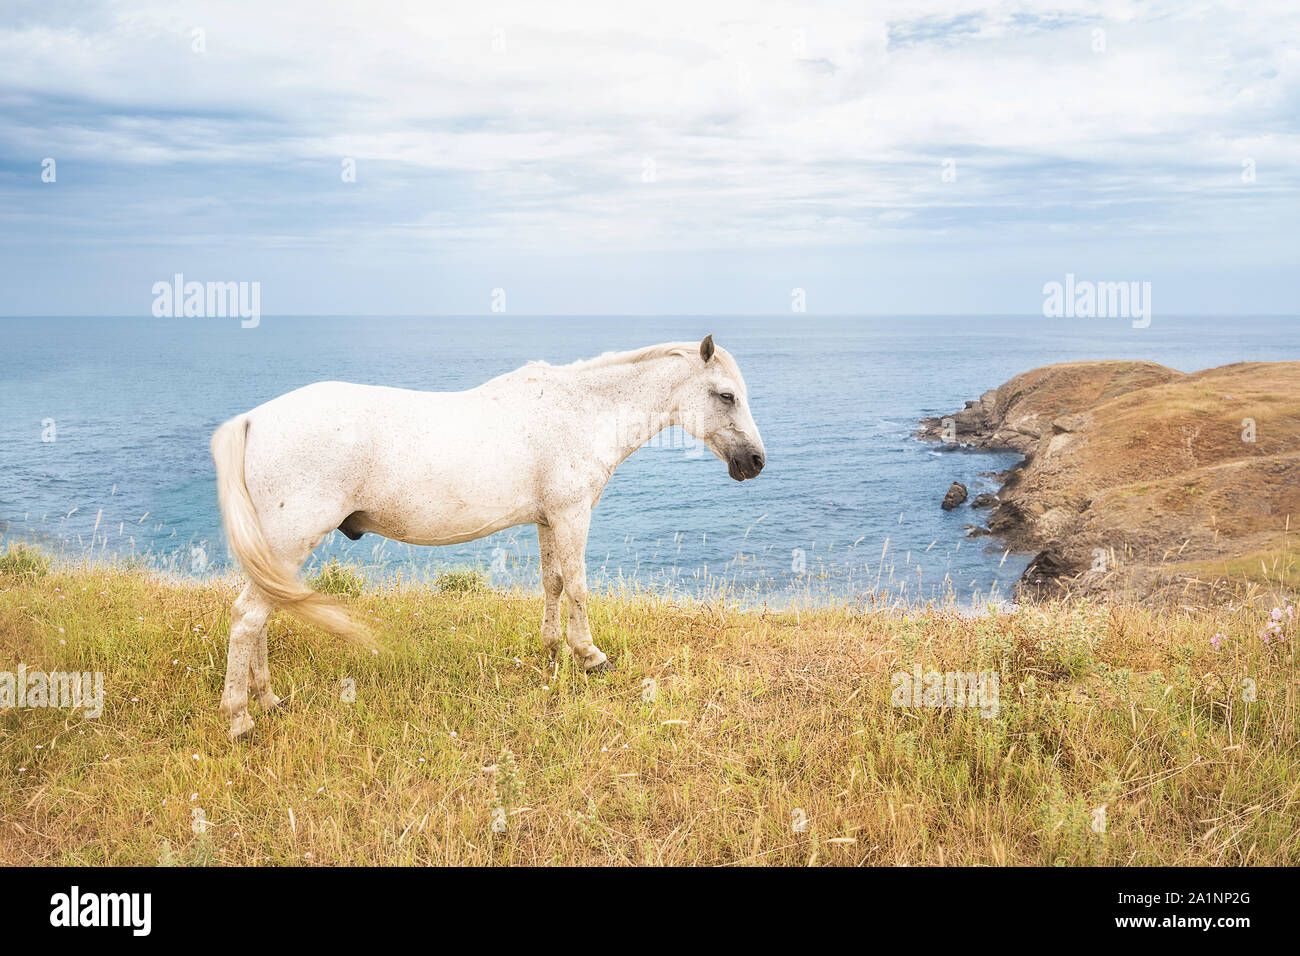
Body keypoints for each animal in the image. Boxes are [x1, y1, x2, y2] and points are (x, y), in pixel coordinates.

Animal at [210, 334, 766, 738]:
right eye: (726, 395)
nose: (756, 462)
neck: (580, 412)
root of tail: (253, 420)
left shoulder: (548, 519)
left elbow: (553, 583)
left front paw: (552, 650)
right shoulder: (571, 515)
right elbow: (579, 586)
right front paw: (589, 656)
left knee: (261, 617)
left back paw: (268, 699)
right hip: (290, 542)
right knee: (248, 618)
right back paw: (241, 717)